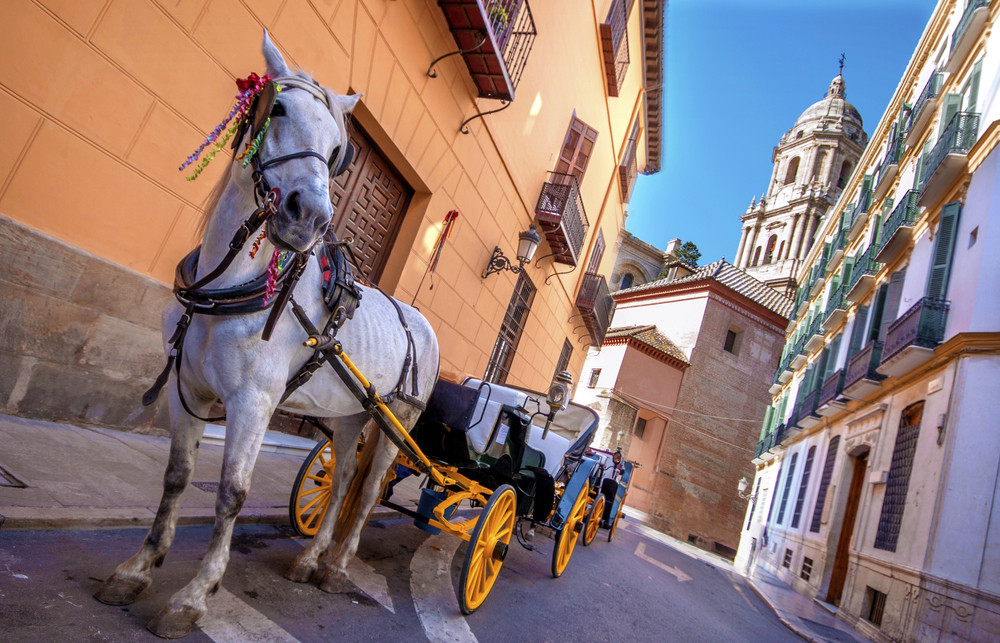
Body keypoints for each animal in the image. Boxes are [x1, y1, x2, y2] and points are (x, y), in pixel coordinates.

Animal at [95, 35, 440, 640]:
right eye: (275, 109)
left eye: (337, 150)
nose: (310, 218)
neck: (229, 286)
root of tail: (418, 320)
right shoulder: (186, 388)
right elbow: (177, 477)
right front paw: (138, 569)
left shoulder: (253, 402)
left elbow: (232, 494)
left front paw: (195, 596)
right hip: (352, 413)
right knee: (342, 478)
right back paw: (311, 559)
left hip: (398, 419)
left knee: (369, 490)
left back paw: (338, 568)